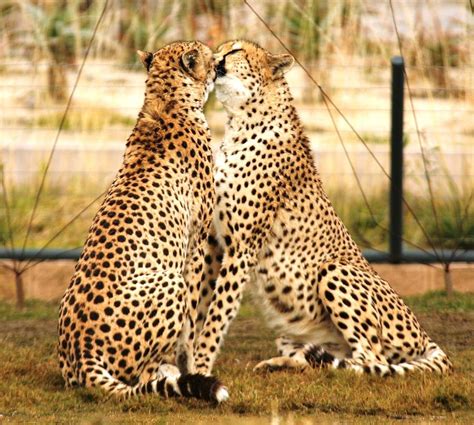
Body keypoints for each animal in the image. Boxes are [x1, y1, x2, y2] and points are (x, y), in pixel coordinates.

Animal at [57, 40, 228, 400]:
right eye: (207, 53)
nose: (220, 57)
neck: (167, 102)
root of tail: (81, 351)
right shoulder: (195, 246)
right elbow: (191, 324)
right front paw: (192, 367)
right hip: (169, 282)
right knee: (141, 376)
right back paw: (168, 374)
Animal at [194, 40, 454, 378]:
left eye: (235, 50)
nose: (214, 59)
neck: (241, 121)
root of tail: (425, 335)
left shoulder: (242, 248)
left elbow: (216, 315)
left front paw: (199, 366)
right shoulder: (214, 242)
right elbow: (199, 307)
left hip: (335, 270)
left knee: (372, 359)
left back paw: (336, 366)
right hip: (289, 322)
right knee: (321, 356)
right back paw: (285, 363)